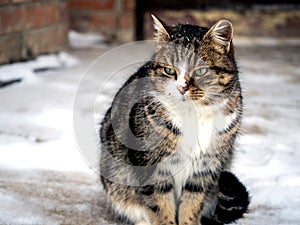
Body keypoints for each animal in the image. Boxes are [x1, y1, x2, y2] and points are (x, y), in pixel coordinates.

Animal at [99, 14, 250, 225]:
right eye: (169, 71)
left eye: (201, 71)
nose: (181, 88)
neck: (195, 115)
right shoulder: (150, 164)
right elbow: (160, 206)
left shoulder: (205, 166)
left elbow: (192, 204)